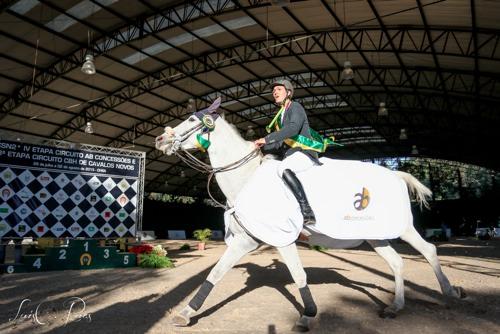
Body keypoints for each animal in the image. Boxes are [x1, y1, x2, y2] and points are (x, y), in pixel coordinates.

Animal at [156, 98, 464, 330]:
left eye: (193, 120)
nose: (160, 139)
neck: (247, 178)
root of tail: (396, 174)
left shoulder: (282, 238)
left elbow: (298, 274)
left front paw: (308, 315)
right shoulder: (246, 239)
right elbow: (215, 273)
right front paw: (186, 313)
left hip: (401, 228)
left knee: (429, 250)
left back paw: (450, 293)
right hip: (375, 236)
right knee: (398, 263)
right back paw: (395, 307)